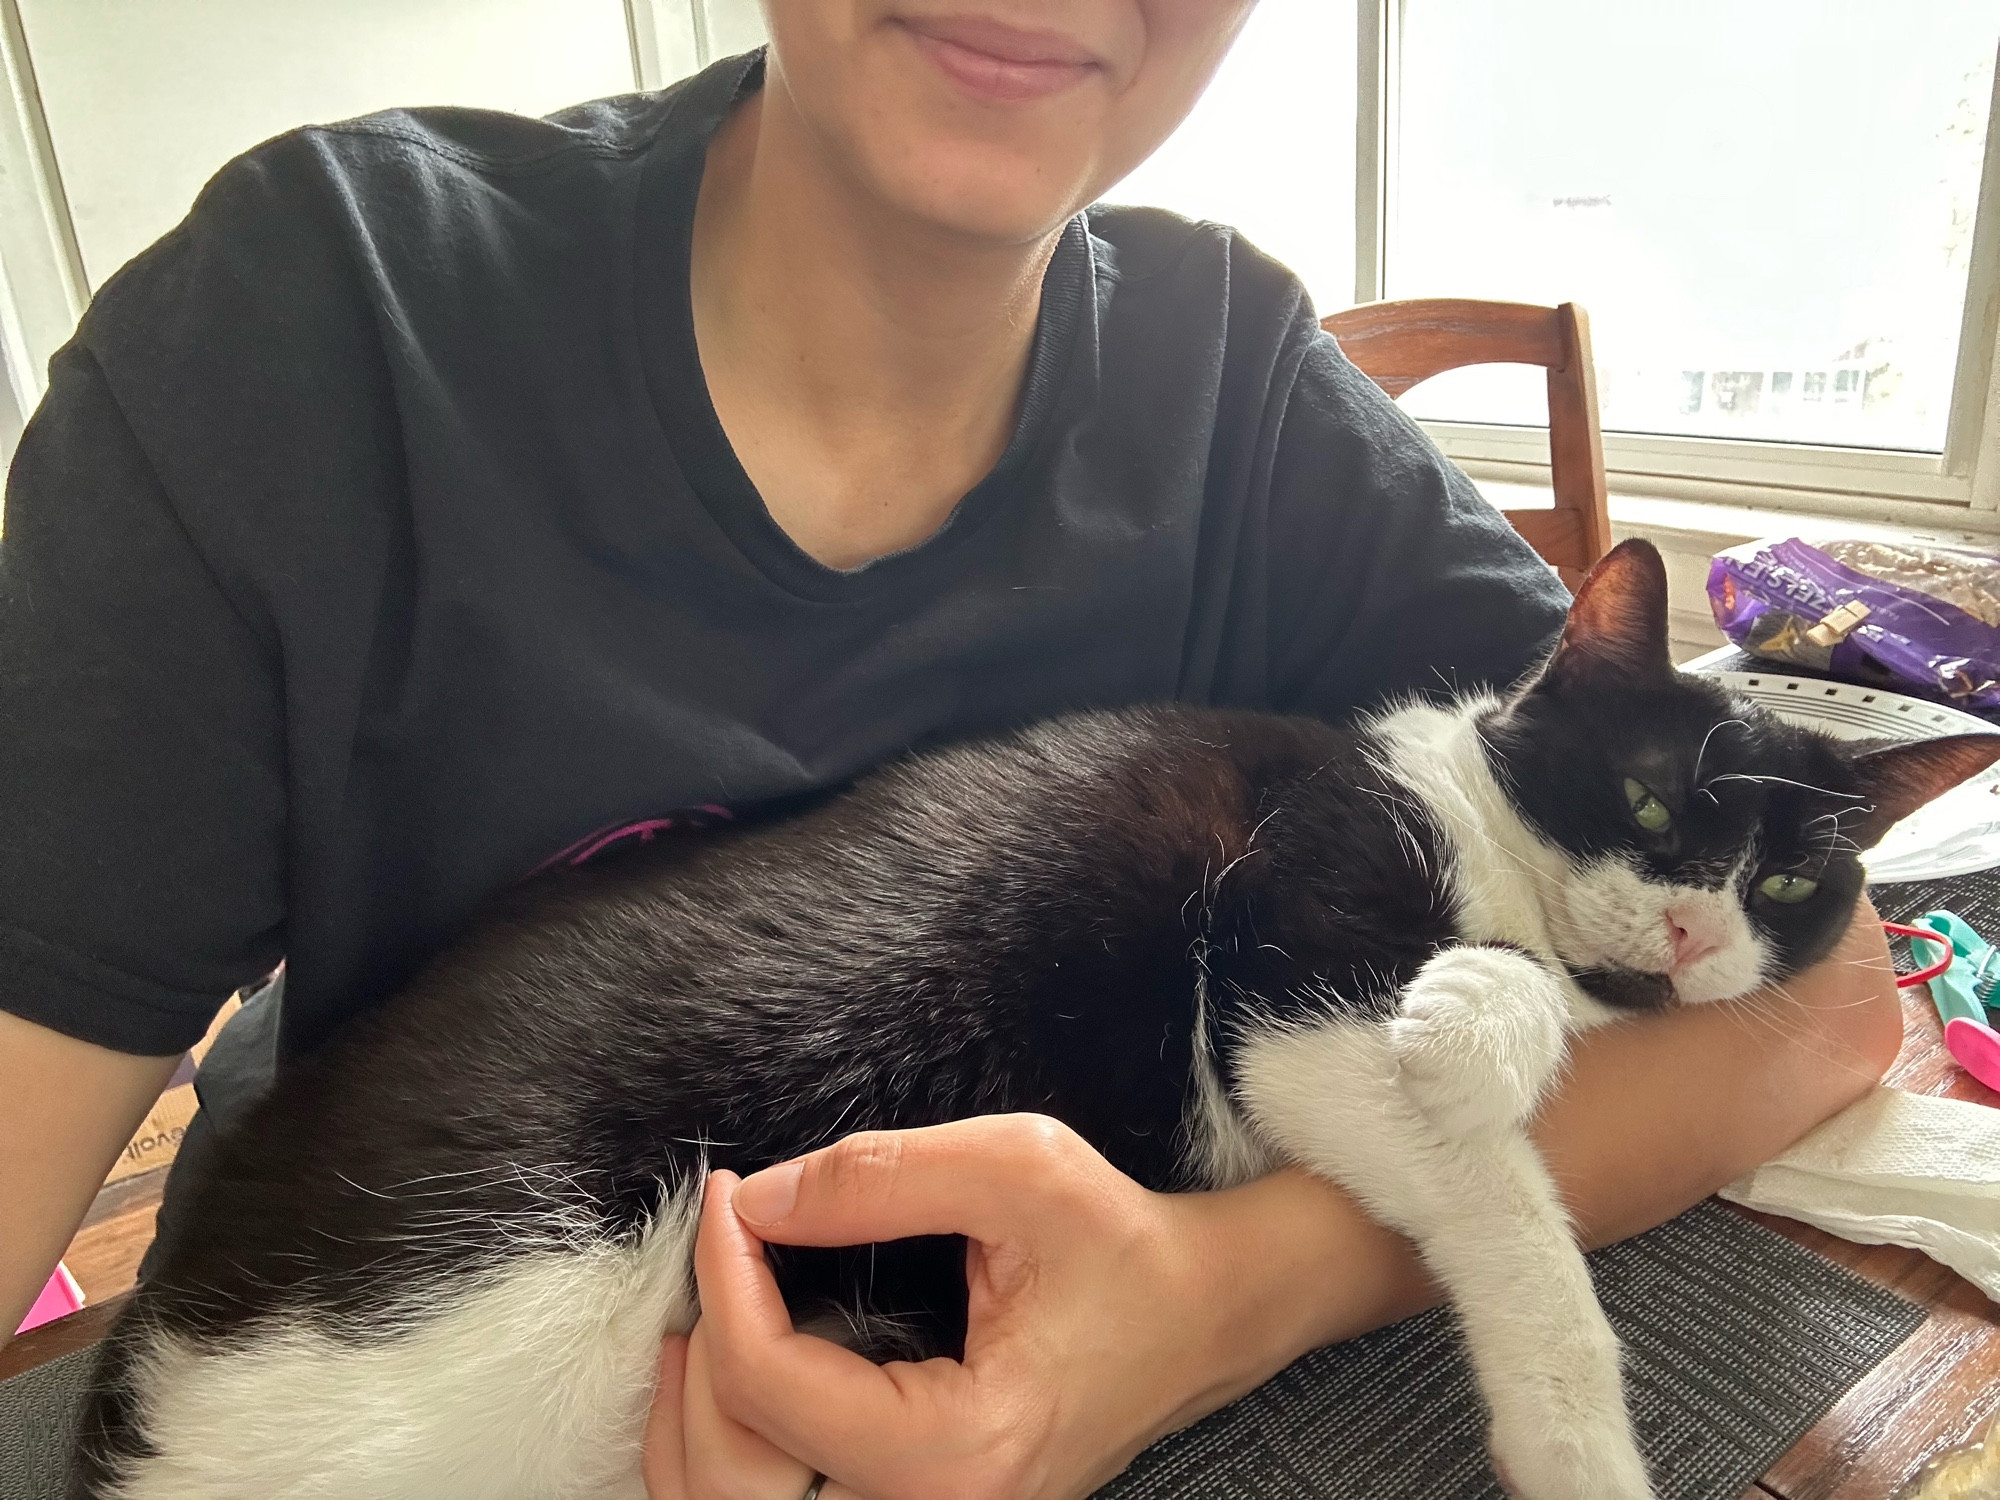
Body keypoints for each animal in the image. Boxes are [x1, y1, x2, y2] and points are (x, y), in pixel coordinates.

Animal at [70, 544, 1992, 1500]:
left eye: (1792, 885)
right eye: (1656, 803)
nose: (1690, 930)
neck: (1472, 835)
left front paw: (1485, 1020)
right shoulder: (1284, 960)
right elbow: (1507, 1207)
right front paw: (1579, 1447)